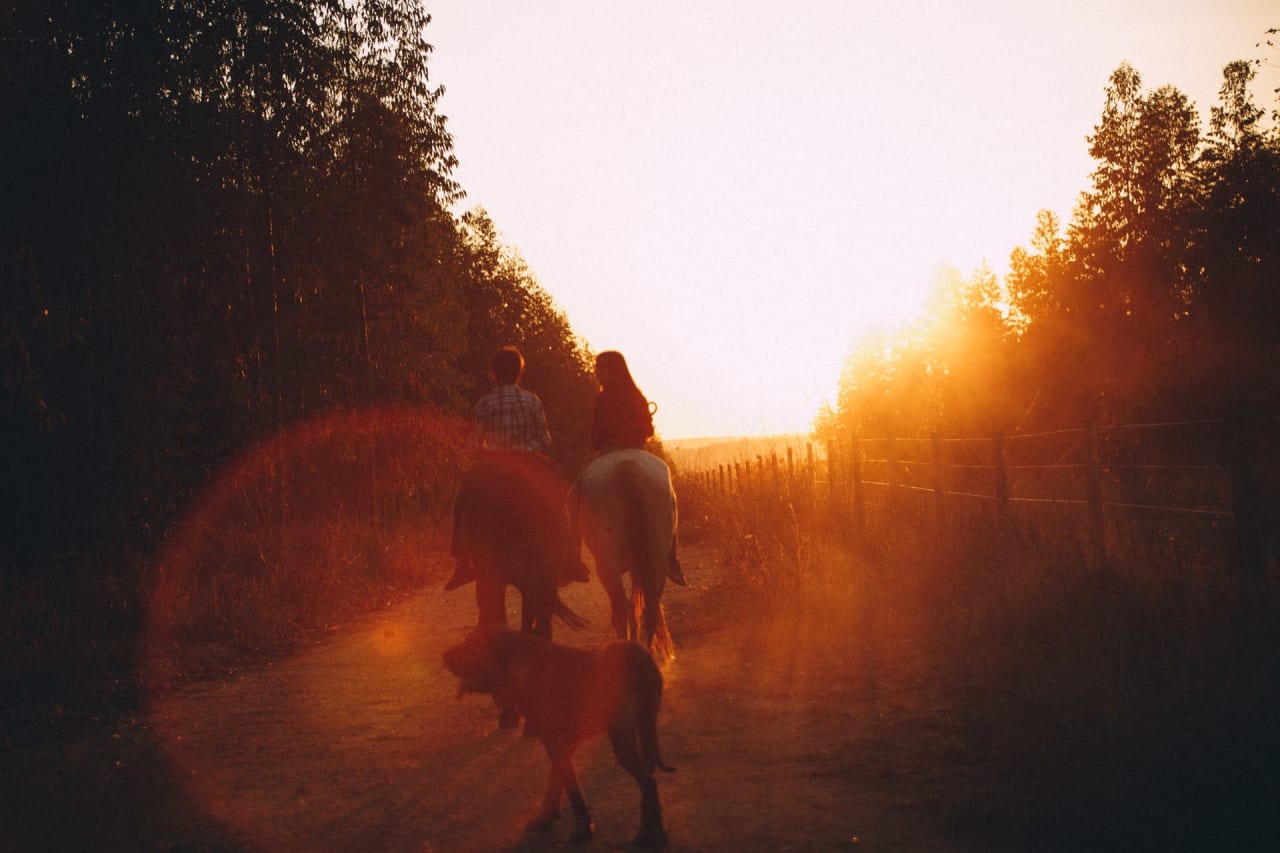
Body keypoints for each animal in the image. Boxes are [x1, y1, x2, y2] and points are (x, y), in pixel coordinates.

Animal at [442, 625, 675, 845]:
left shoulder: (555, 742)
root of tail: (640, 658)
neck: (517, 661)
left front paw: (582, 830)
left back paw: (649, 835)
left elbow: (570, 785)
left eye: (470, 644)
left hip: (621, 734)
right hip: (645, 721)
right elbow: (557, 778)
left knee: (646, 779)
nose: (443, 655)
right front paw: (545, 819)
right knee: (648, 770)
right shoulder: (562, 743)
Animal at [578, 445, 680, 655]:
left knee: (620, 609)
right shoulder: (637, 565)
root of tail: (626, 465)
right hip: (656, 556)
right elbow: (636, 607)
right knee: (649, 604)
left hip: (607, 565)